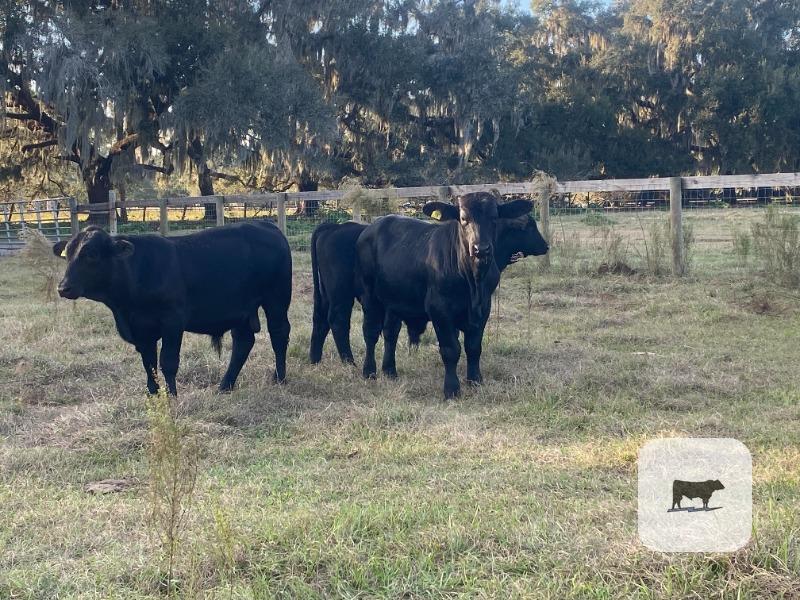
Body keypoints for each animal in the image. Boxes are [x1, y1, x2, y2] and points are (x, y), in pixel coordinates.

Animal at [52, 223, 292, 396]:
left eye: (91, 254)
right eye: (67, 254)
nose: (63, 287)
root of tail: (267, 226)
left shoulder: (172, 321)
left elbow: (167, 361)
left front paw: (172, 395)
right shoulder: (141, 329)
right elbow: (148, 363)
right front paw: (153, 394)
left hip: (276, 299)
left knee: (279, 334)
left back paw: (279, 378)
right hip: (241, 311)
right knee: (243, 342)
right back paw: (225, 386)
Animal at [309, 211, 548, 364]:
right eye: (529, 226)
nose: (545, 245)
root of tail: (333, 227)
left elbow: (392, 331)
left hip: (325, 295)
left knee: (320, 321)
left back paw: (315, 358)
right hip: (341, 296)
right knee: (338, 322)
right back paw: (349, 361)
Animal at [355, 192, 533, 398]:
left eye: (495, 217)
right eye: (463, 219)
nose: (481, 249)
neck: (473, 282)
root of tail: (373, 226)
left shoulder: (484, 309)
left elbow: (474, 347)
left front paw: (475, 380)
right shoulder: (439, 309)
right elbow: (451, 349)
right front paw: (451, 389)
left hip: (394, 301)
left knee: (390, 333)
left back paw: (390, 370)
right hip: (369, 296)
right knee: (371, 332)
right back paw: (369, 371)